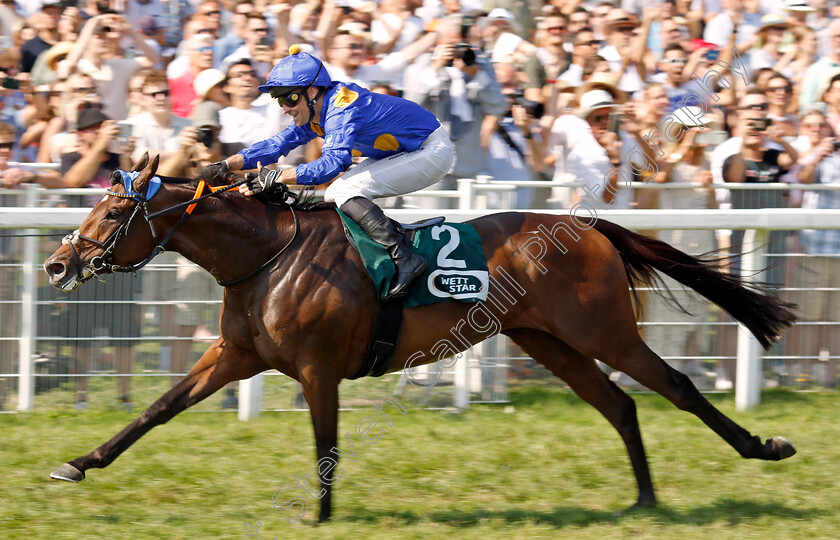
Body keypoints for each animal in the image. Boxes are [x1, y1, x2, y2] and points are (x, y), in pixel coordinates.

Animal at [42, 153, 796, 524]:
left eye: (113, 210)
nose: (57, 264)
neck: (267, 255)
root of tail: (588, 227)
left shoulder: (317, 369)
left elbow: (326, 444)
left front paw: (321, 514)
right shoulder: (236, 355)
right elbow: (158, 408)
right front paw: (78, 462)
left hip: (604, 330)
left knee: (676, 386)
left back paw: (762, 448)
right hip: (548, 342)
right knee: (620, 406)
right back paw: (642, 500)